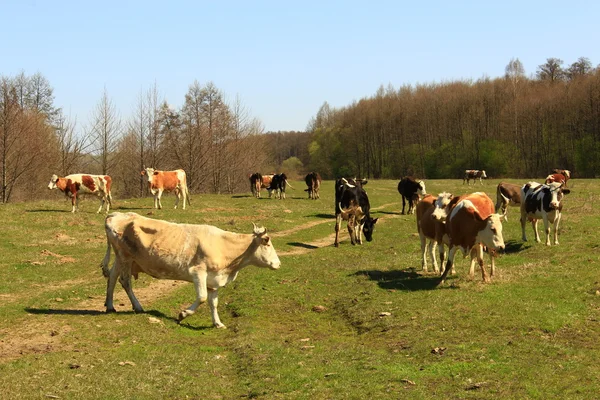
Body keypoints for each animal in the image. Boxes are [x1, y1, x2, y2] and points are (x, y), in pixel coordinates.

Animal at [101, 212, 282, 328]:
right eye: (266, 242)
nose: (278, 264)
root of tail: (114, 214)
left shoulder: (214, 280)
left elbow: (213, 302)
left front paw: (218, 323)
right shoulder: (198, 272)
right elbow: (202, 297)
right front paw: (183, 315)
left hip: (122, 259)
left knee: (112, 277)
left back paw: (110, 305)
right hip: (125, 256)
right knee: (124, 281)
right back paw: (137, 306)